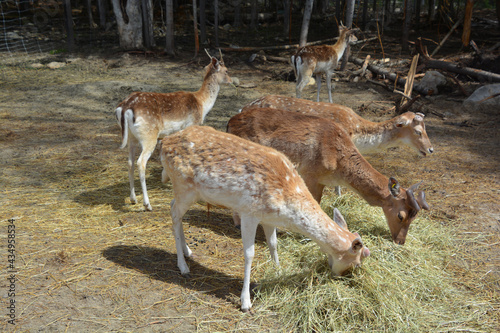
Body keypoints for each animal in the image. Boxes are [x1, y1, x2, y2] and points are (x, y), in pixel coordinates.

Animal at [114, 52, 231, 210]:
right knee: (140, 162)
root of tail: (125, 107)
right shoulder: (191, 125)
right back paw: (147, 204)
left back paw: (133, 199)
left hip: (132, 137)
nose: (231, 81)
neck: (202, 104)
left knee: (130, 162)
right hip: (149, 135)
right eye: (227, 71)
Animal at [160, 125, 372, 312]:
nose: (342, 277)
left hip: (190, 192)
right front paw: (245, 302)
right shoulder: (248, 212)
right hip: (183, 186)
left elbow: (273, 243)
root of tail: (163, 143)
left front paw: (278, 270)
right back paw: (183, 266)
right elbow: (249, 254)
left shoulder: (269, 219)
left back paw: (188, 251)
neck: (285, 203)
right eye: (357, 262)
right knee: (173, 213)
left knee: (173, 207)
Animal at [228, 107, 430, 245]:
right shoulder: (310, 174)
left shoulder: (322, 181)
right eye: (400, 216)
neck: (339, 166)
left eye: (414, 217)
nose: (400, 241)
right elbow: (314, 204)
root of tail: (230, 122)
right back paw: (238, 224)